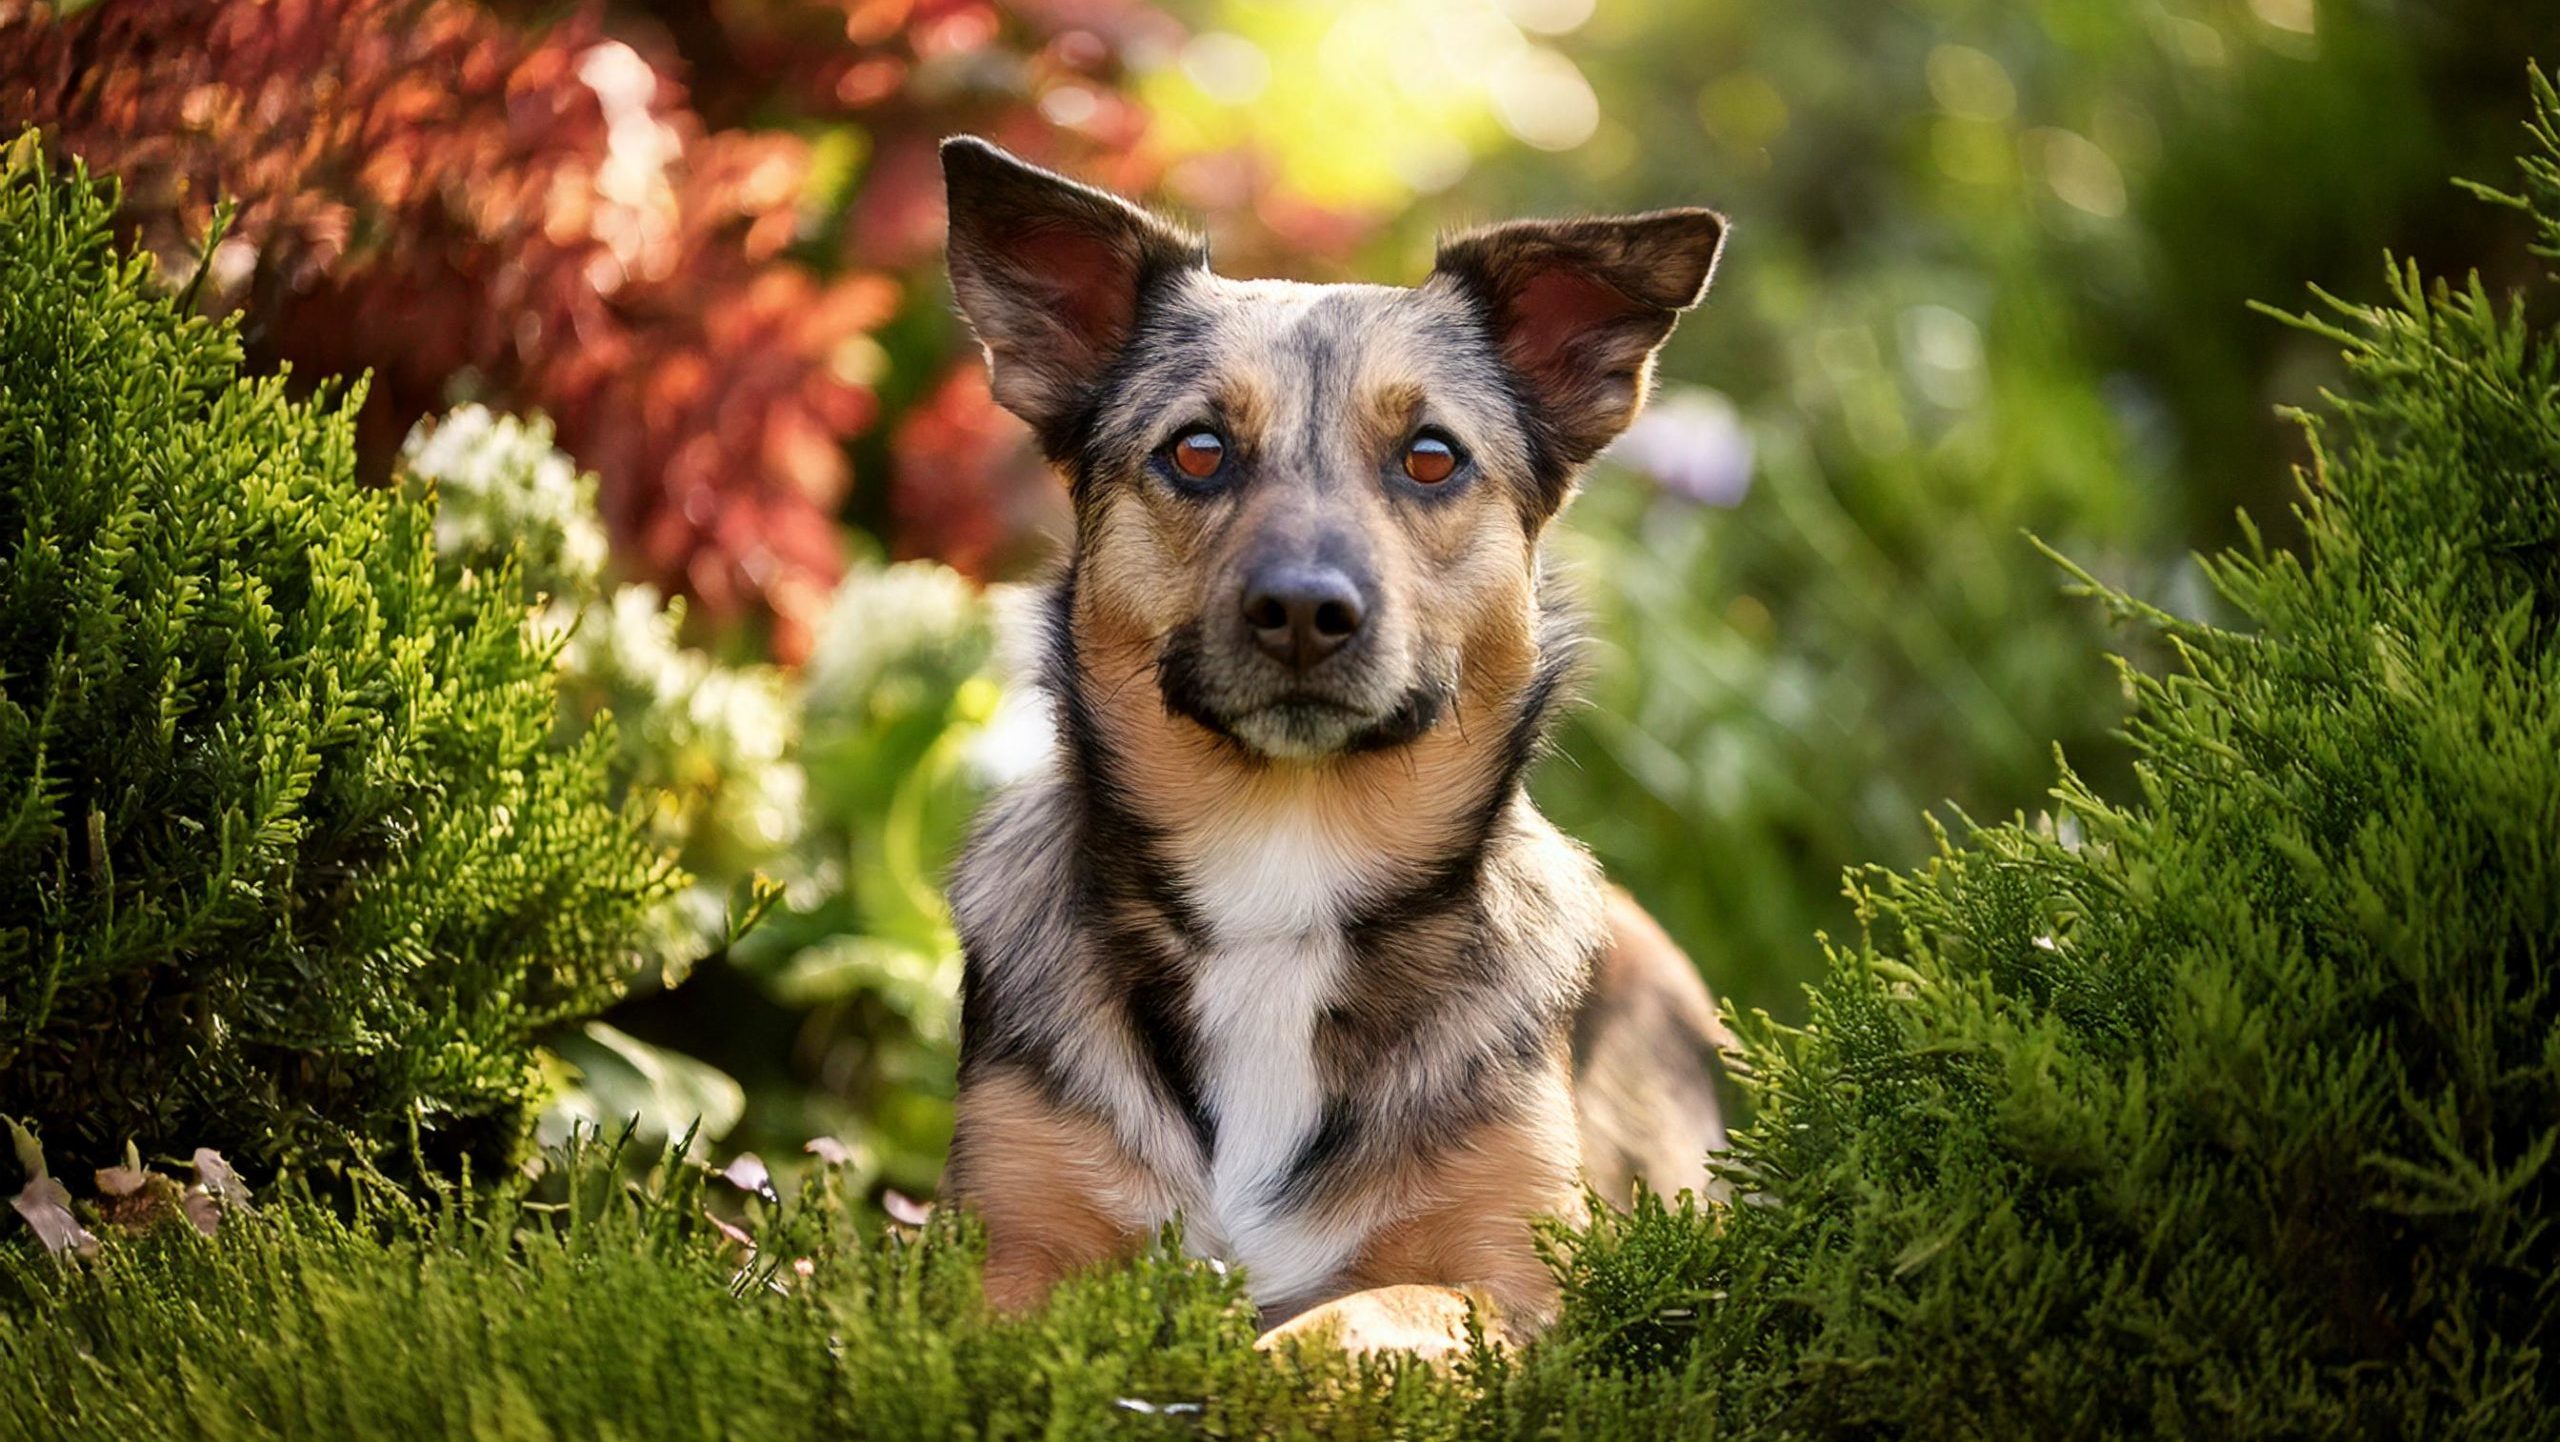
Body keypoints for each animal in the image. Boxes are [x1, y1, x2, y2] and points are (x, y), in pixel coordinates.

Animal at [931, 132, 1730, 1352]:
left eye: (1433, 457)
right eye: (1198, 450)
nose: (1304, 610)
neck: (1280, 877)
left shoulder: (1526, 1292)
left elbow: (1365, 1310)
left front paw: (1265, 1360)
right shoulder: (998, 1255)